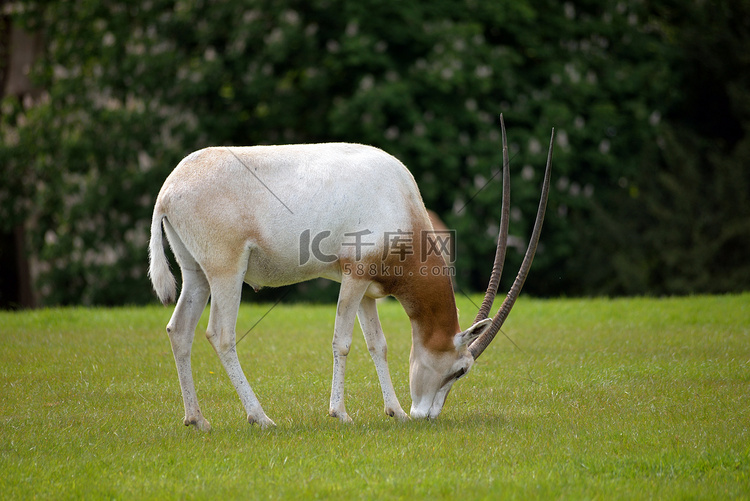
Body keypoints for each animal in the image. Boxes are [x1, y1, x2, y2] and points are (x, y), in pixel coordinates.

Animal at [150, 115, 556, 428]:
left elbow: (378, 344)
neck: (401, 201)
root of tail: (168, 190)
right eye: (461, 370)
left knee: (179, 330)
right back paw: (260, 417)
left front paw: (396, 412)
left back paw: (197, 419)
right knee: (221, 335)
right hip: (226, 272)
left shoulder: (367, 289)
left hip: (197, 275)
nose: (426, 416)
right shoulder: (354, 275)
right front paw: (340, 414)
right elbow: (342, 342)